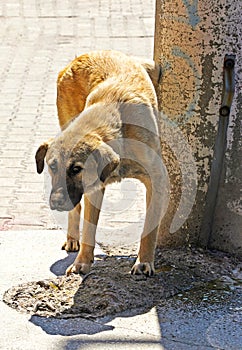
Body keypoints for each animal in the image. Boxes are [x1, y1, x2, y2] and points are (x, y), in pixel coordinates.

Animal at [36, 50, 167, 276]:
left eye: (76, 168)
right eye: (52, 166)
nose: (55, 203)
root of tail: (81, 56)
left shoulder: (156, 181)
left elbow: (149, 228)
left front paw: (144, 261)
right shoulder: (94, 188)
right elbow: (89, 229)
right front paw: (82, 262)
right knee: (77, 210)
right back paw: (72, 237)